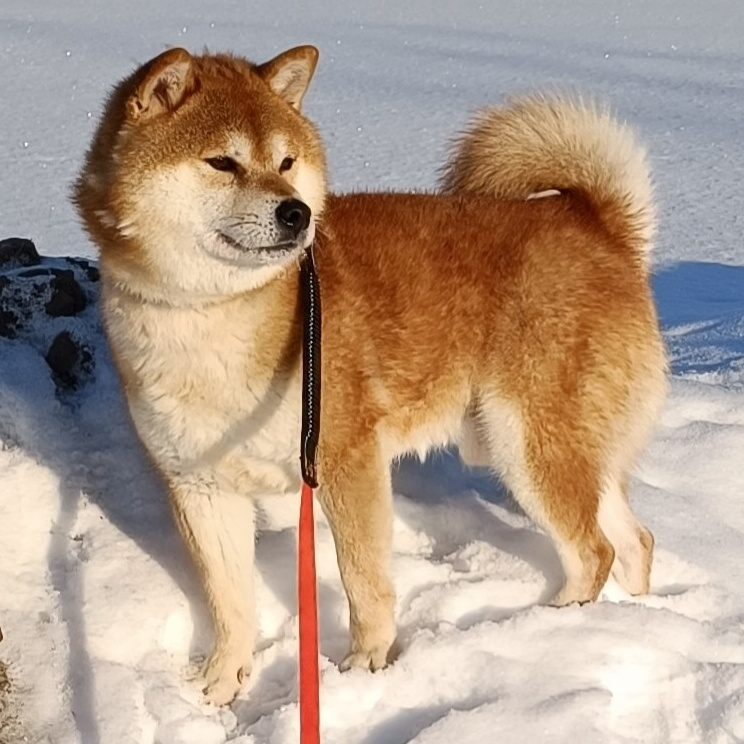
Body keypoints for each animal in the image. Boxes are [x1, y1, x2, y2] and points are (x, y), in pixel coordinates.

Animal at [72, 43, 664, 708]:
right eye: (222, 162)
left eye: (286, 161)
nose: (297, 212)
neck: (214, 318)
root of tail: (601, 229)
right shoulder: (200, 487)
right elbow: (230, 603)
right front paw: (223, 683)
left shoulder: (343, 462)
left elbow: (363, 580)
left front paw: (367, 666)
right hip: (560, 449)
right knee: (632, 541)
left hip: (526, 447)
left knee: (594, 550)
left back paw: (552, 626)